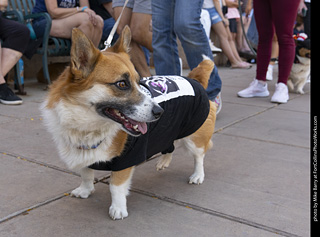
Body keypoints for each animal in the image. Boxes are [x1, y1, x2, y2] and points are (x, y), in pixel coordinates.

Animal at [41, 26, 216, 220]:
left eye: (139, 82)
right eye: (122, 84)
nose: (160, 112)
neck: (88, 127)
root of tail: (194, 78)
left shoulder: (125, 160)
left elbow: (115, 187)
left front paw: (118, 209)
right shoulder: (83, 155)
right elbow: (86, 174)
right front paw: (85, 190)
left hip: (194, 138)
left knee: (199, 156)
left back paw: (197, 175)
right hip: (168, 130)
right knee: (169, 146)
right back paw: (164, 162)